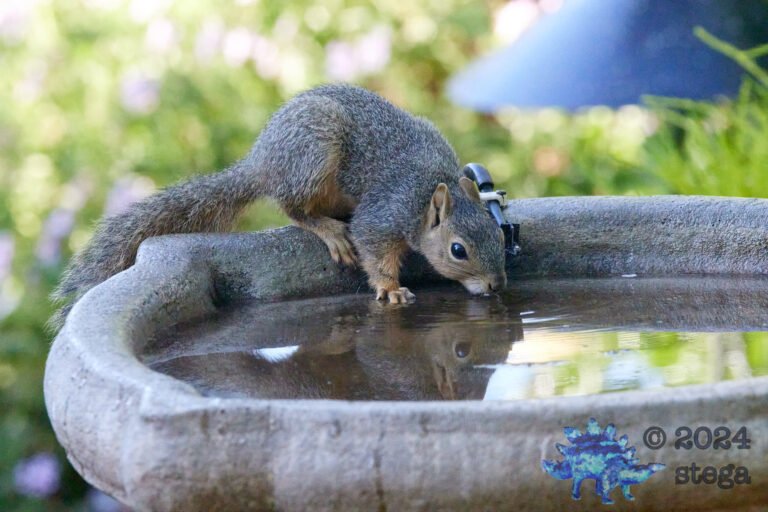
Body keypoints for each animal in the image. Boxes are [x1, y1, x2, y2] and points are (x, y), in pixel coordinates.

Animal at [52, 84, 506, 328]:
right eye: (458, 250)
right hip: (313, 154)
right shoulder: (386, 212)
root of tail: (262, 161)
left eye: (501, 237)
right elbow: (373, 247)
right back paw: (328, 229)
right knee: (293, 207)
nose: (496, 286)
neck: (430, 187)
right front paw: (391, 289)